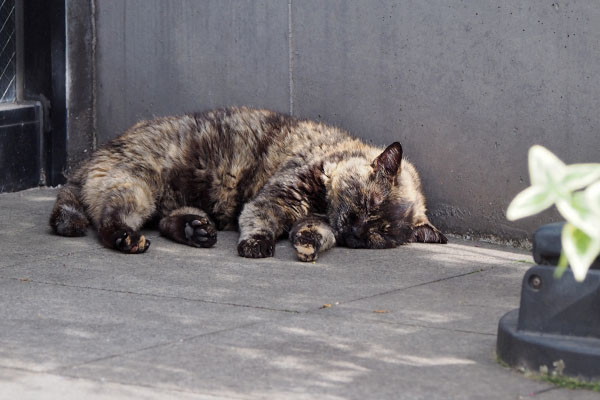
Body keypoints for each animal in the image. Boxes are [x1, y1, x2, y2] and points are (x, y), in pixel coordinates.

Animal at [50, 107, 446, 262]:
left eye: (380, 234)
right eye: (366, 203)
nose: (358, 231)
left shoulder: (314, 219)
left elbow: (317, 234)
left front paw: (307, 245)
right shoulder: (278, 196)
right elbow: (260, 220)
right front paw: (256, 245)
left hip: (168, 200)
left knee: (166, 221)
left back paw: (196, 231)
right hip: (136, 188)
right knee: (109, 221)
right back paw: (128, 239)